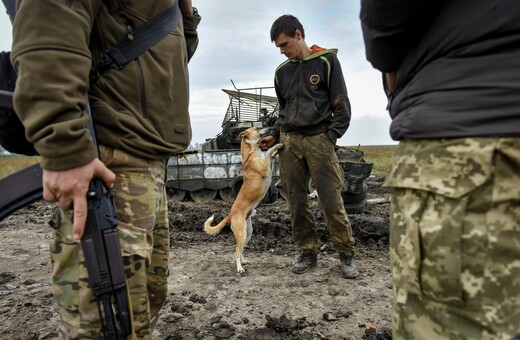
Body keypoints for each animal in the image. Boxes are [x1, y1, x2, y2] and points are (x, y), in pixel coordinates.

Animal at [204, 126, 284, 272]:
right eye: (257, 128)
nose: (270, 128)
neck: (252, 152)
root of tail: (230, 214)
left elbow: (270, 155)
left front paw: (277, 149)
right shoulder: (264, 168)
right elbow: (268, 153)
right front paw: (276, 145)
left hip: (248, 233)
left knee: (240, 250)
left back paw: (243, 261)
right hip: (241, 233)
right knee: (235, 252)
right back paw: (239, 268)